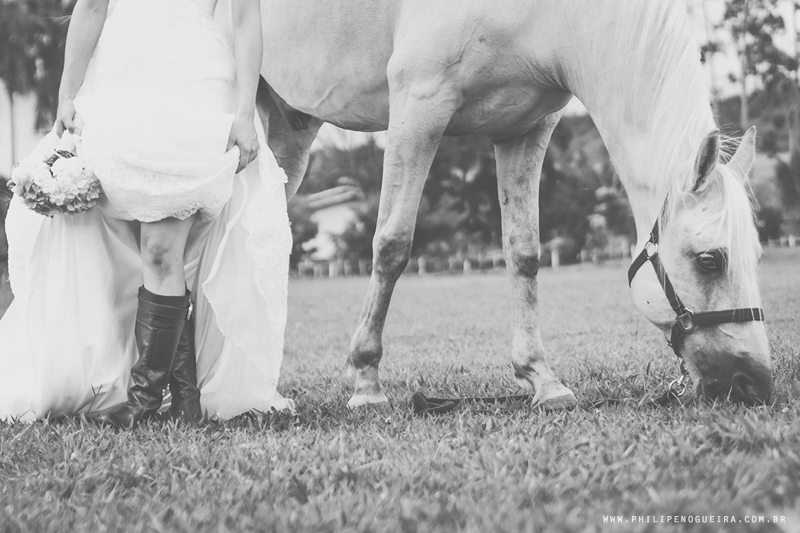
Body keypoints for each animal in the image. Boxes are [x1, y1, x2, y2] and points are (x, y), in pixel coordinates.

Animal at [256, 0, 772, 408]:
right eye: (709, 260)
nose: (755, 385)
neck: (545, 15)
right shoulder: (418, 107)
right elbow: (392, 245)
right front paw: (366, 383)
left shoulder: (525, 129)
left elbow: (524, 253)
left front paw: (541, 378)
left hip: (290, 130)